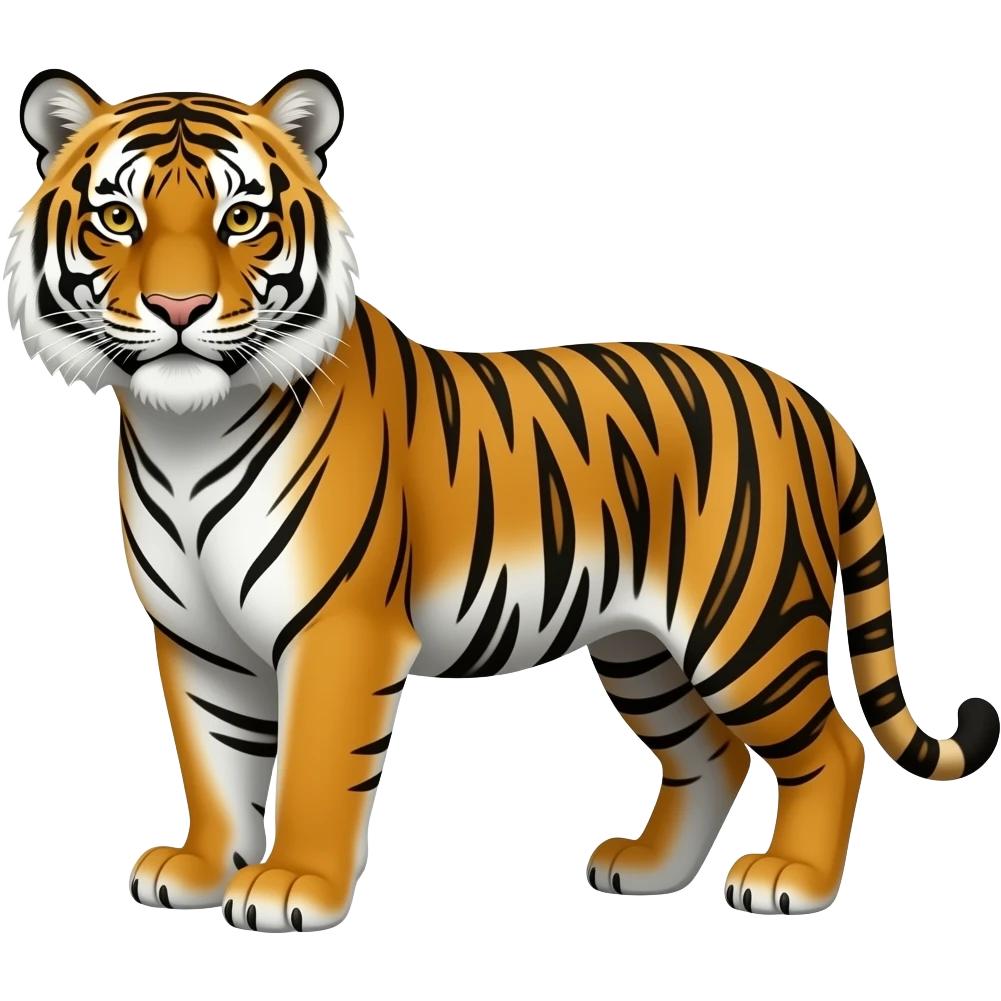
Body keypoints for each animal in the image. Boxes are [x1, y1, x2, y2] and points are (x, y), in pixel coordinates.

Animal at [7, 66, 999, 934]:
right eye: (118, 218)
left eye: (241, 217)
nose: (179, 308)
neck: (183, 432)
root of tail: (809, 403)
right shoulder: (196, 638)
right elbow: (213, 763)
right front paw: (200, 868)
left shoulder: (339, 630)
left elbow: (314, 768)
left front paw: (292, 887)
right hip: (643, 647)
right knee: (708, 753)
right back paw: (646, 869)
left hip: (743, 626)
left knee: (830, 747)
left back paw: (789, 880)